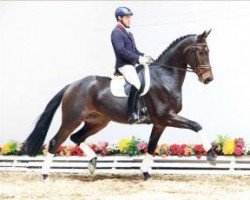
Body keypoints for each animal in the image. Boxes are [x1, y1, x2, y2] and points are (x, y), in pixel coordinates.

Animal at [21, 30, 217, 181]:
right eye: (201, 51)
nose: (208, 79)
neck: (165, 76)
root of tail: (72, 85)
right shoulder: (166, 117)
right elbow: (196, 125)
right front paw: (211, 155)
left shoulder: (160, 122)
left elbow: (151, 147)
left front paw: (146, 173)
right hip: (72, 119)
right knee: (56, 142)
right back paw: (45, 175)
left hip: (98, 122)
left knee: (76, 137)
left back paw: (93, 162)